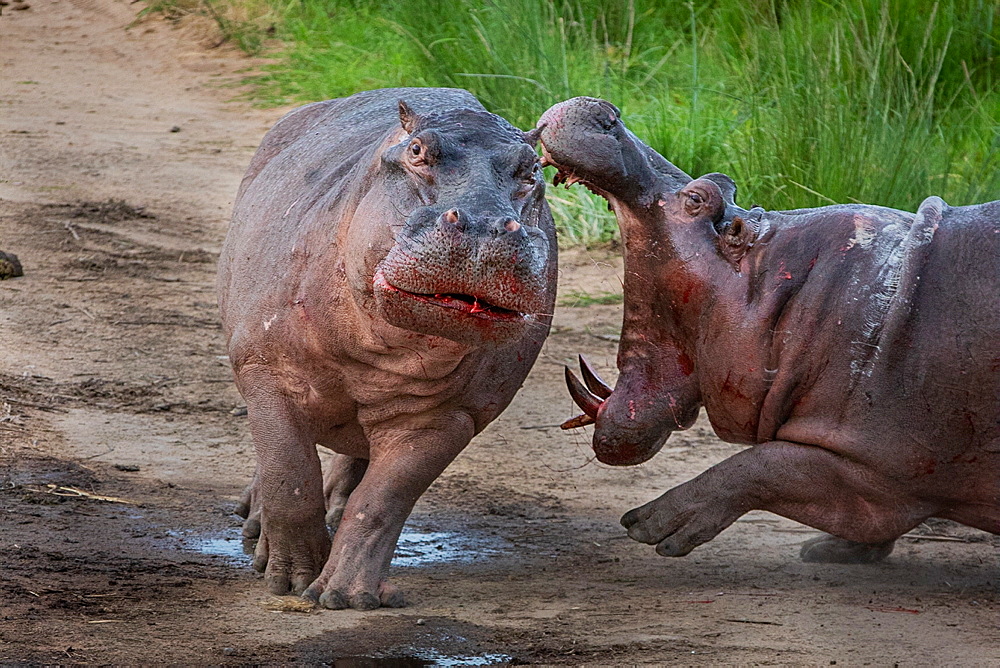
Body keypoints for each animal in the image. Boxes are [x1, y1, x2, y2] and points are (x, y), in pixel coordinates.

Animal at [218, 88, 556, 612]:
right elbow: (289, 475)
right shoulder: (265, 371)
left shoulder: (450, 415)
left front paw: (344, 596)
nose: (485, 226)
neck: (380, 348)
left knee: (353, 461)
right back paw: (255, 526)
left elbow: (382, 501)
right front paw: (290, 581)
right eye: (417, 150)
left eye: (533, 168)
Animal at [540, 94, 1000, 564]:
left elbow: (764, 465)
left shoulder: (878, 475)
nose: (606, 112)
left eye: (697, 197)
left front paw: (653, 523)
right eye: (723, 181)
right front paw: (829, 550)